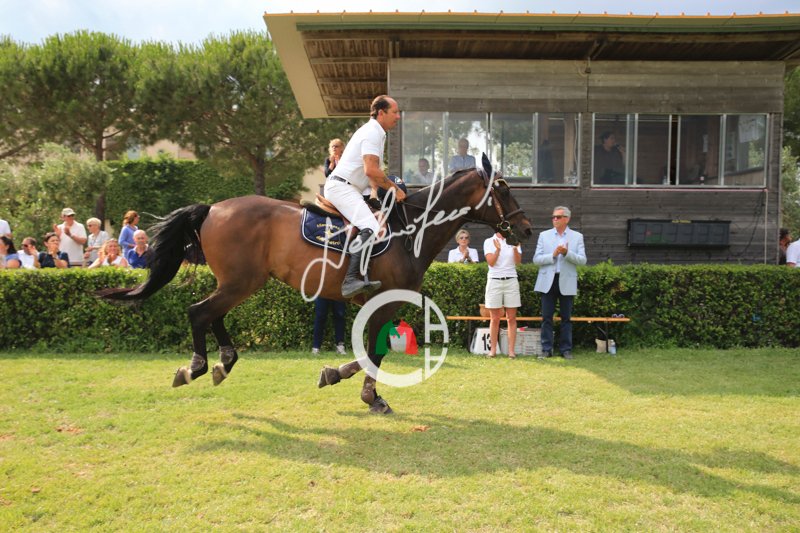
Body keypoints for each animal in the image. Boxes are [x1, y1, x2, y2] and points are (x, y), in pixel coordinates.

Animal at [99, 155, 533, 414]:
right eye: (503, 189)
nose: (526, 229)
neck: (411, 230)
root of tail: (214, 207)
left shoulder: (374, 304)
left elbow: (369, 350)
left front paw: (343, 379)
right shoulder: (385, 301)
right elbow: (374, 352)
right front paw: (366, 394)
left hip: (242, 282)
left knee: (211, 313)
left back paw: (224, 361)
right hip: (241, 282)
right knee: (198, 312)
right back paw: (197, 366)